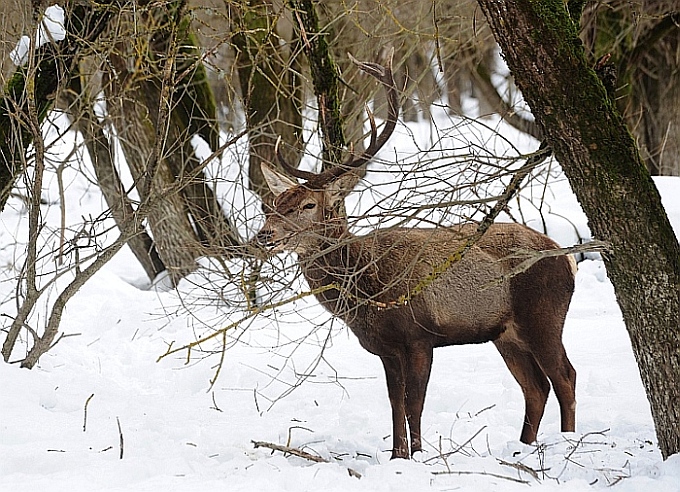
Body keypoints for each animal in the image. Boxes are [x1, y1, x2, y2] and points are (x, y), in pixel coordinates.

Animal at [255, 52, 580, 460]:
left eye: (308, 205)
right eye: (273, 204)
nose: (263, 235)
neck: (366, 295)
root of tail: (566, 257)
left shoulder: (420, 336)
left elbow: (414, 404)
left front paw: (419, 456)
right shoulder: (385, 349)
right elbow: (395, 404)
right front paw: (398, 455)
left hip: (543, 315)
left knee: (565, 376)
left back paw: (568, 443)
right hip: (505, 333)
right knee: (536, 387)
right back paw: (522, 447)